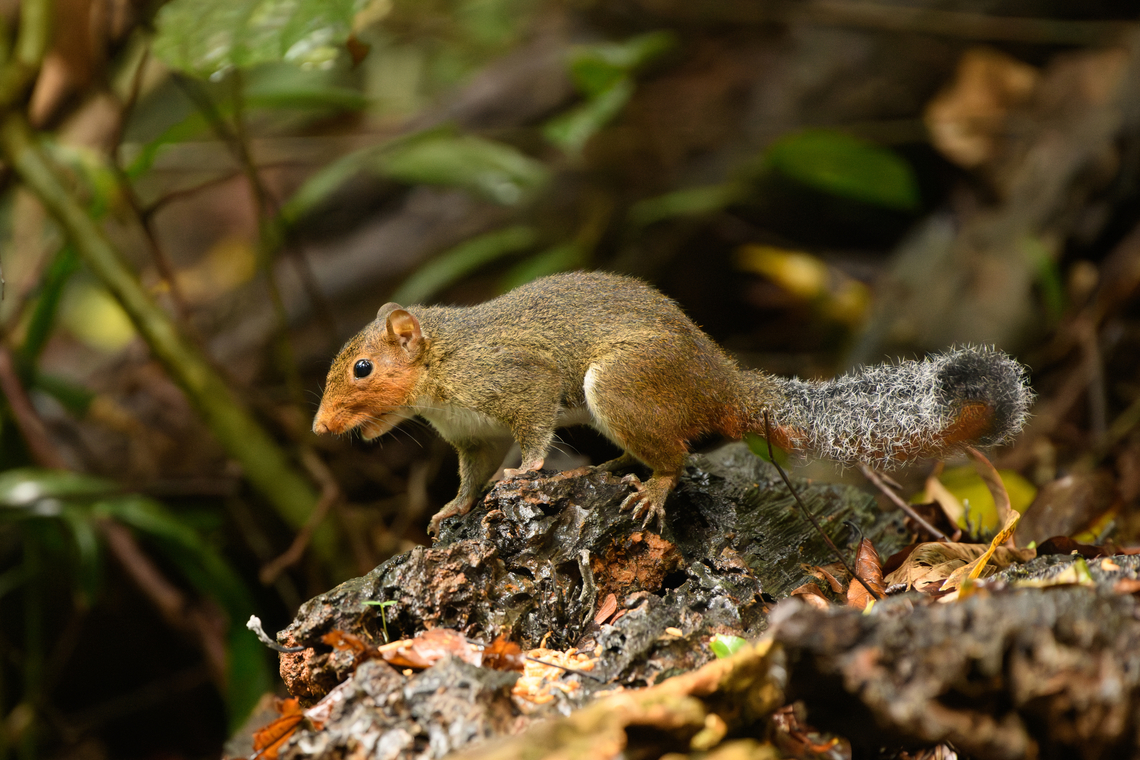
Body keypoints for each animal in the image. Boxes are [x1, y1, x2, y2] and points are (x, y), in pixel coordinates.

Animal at [313, 271, 1032, 535]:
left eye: (362, 368)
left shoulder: (517, 379)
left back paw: (651, 486)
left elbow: (534, 432)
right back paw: (604, 469)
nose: (320, 428)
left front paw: (528, 472)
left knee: (677, 454)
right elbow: (470, 475)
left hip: (621, 387)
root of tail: (724, 383)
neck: (444, 362)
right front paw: (454, 509)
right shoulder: (472, 435)